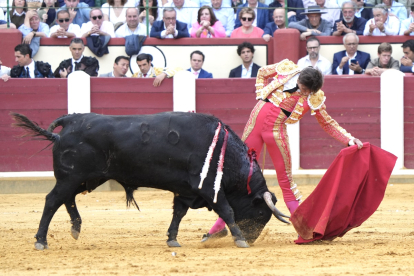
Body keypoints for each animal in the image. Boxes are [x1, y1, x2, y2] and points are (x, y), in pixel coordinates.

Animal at [11, 111, 290, 250]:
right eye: (262, 214)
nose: (252, 239)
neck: (224, 153)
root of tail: (69, 121)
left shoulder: (187, 191)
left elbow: (178, 213)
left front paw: (172, 239)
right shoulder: (209, 187)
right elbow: (228, 210)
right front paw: (239, 240)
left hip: (83, 179)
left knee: (66, 200)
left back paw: (76, 229)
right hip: (71, 178)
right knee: (52, 201)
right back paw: (41, 240)